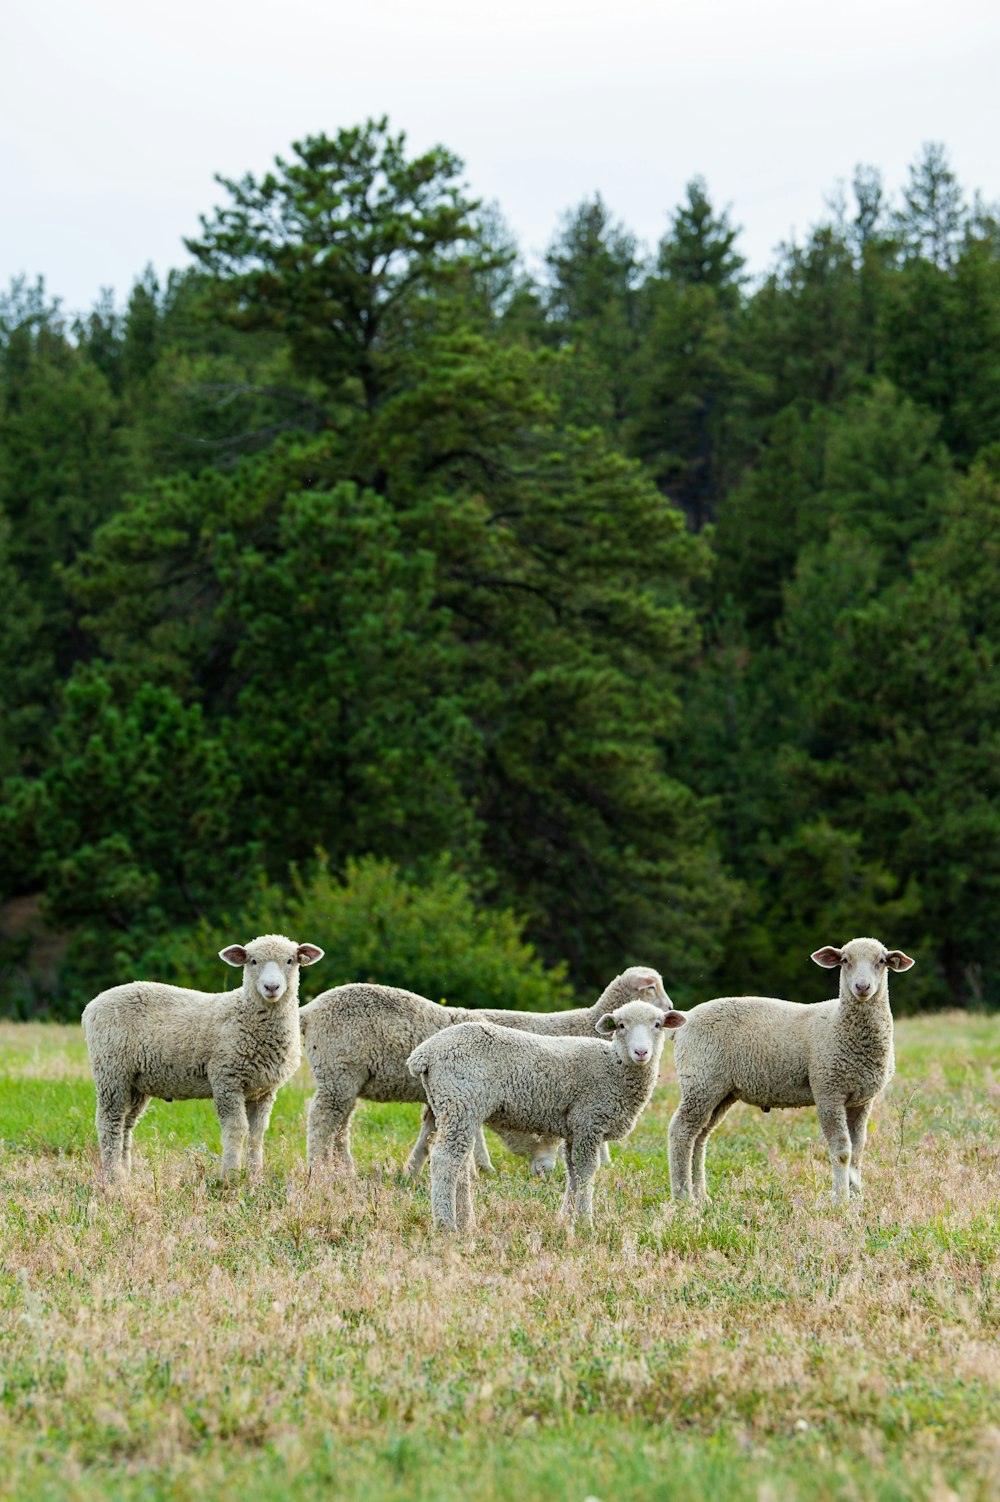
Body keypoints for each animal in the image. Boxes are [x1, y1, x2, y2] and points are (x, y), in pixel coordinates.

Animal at [82, 925, 322, 1183]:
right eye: (253, 961)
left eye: (290, 961)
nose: (271, 987)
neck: (246, 1014)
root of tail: (91, 1006)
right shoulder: (226, 1079)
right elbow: (236, 1129)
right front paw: (230, 1176)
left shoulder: (264, 1089)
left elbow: (257, 1133)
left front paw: (254, 1175)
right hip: (111, 1070)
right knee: (110, 1123)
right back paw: (112, 1177)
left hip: (136, 1081)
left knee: (127, 1124)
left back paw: (125, 1174)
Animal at [295, 967, 669, 1177]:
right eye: (651, 987)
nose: (670, 1008)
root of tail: (309, 1010)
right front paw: (482, 1170)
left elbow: (432, 1130)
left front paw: (413, 1170)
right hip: (338, 1072)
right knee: (322, 1119)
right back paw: (318, 1170)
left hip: (348, 1079)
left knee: (340, 1125)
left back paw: (343, 1168)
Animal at [405, 997, 684, 1231]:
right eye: (621, 1025)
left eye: (658, 1025)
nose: (641, 1052)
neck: (613, 1067)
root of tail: (424, 1054)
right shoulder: (588, 1121)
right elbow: (586, 1171)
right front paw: (585, 1224)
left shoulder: (574, 1128)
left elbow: (573, 1172)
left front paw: (566, 1219)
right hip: (460, 1100)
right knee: (444, 1159)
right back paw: (446, 1225)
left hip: (453, 1107)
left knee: (460, 1162)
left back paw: (466, 1221)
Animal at [669, 931, 912, 1201]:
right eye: (845, 960)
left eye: (881, 961)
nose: (862, 987)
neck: (840, 1025)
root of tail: (685, 1019)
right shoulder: (828, 1091)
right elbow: (842, 1151)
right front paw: (840, 1199)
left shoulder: (861, 1100)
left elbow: (858, 1149)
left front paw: (857, 1196)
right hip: (701, 1080)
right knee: (681, 1131)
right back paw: (683, 1197)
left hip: (720, 1090)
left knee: (700, 1136)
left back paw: (701, 1196)